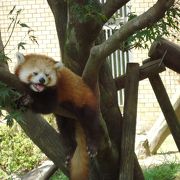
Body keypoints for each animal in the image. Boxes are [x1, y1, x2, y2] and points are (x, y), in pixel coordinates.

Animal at [14, 52, 100, 180]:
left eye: (47, 75)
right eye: (35, 73)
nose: (42, 80)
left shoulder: (55, 90)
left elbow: (47, 107)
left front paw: (29, 100)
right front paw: (21, 99)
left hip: (86, 102)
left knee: (90, 123)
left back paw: (93, 145)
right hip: (65, 117)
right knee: (65, 129)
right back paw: (70, 151)